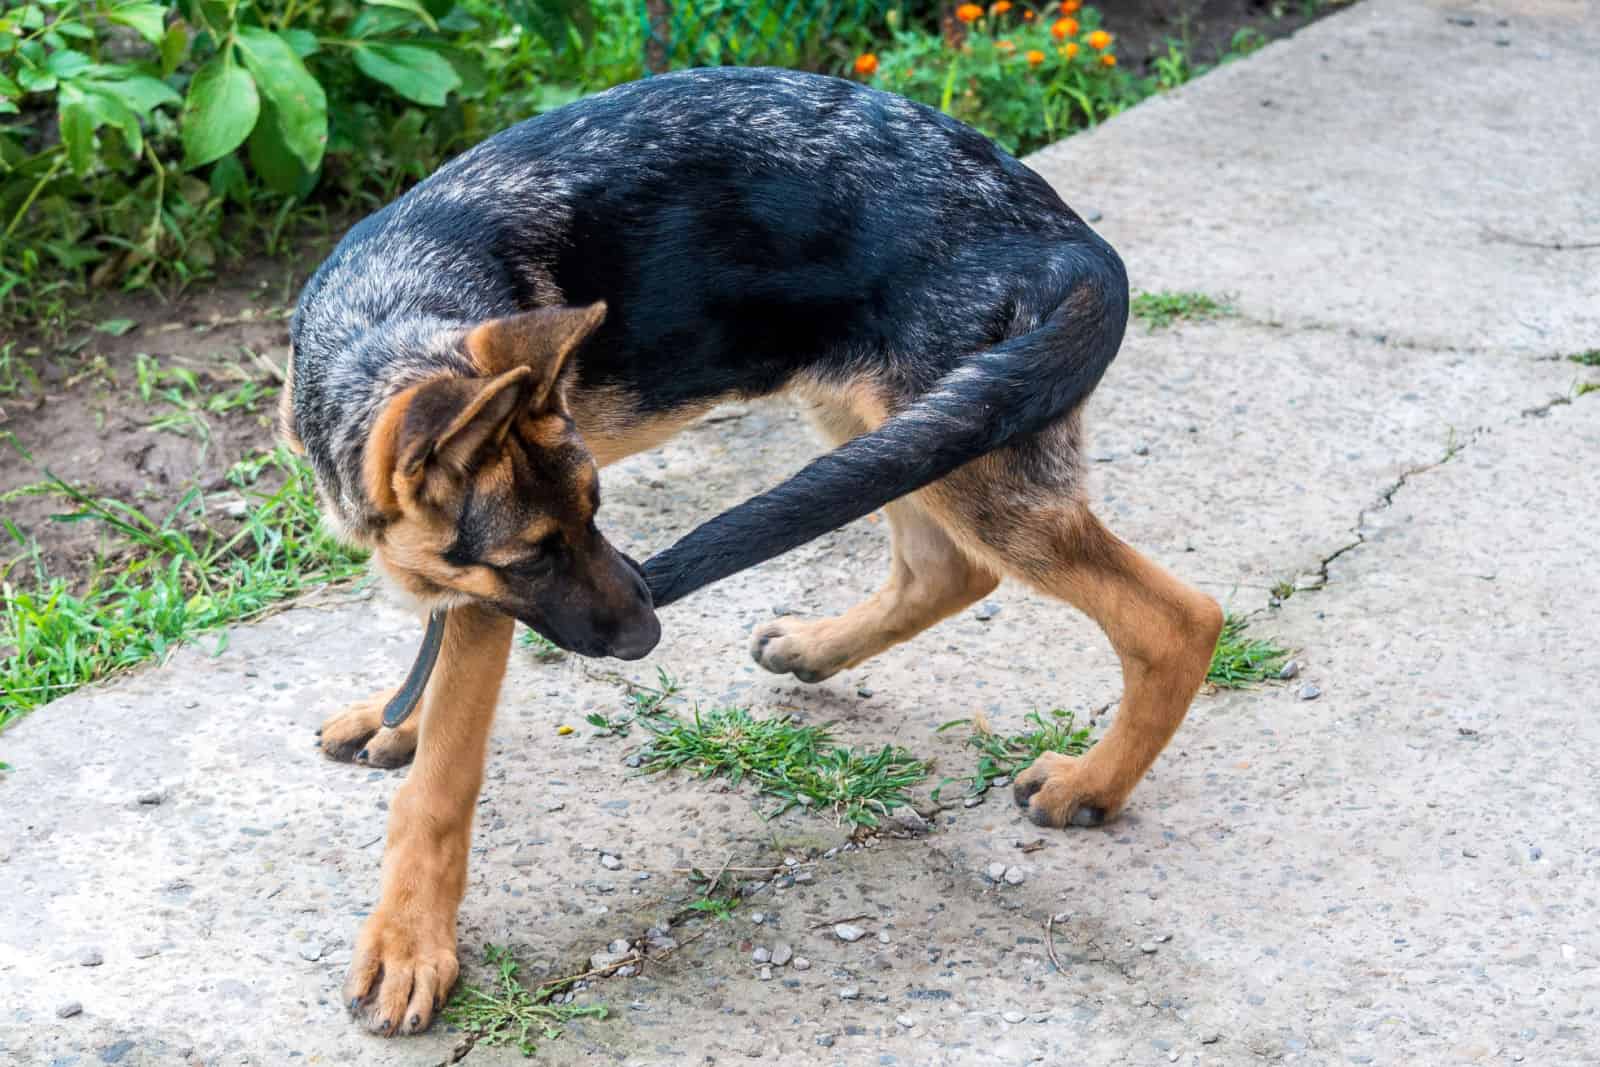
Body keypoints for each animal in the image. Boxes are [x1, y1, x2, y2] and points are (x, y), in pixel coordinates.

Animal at [281, 66, 1216, 1036]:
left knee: (1176, 618)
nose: (650, 635)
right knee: (948, 568)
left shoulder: (482, 606)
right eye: (538, 553)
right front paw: (398, 718)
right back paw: (817, 648)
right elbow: (430, 668)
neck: (387, 318)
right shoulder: (472, 581)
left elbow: (442, 781)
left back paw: (1093, 783)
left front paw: (409, 943)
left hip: (965, 444)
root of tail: (1074, 245)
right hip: (900, 427)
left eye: (596, 511)